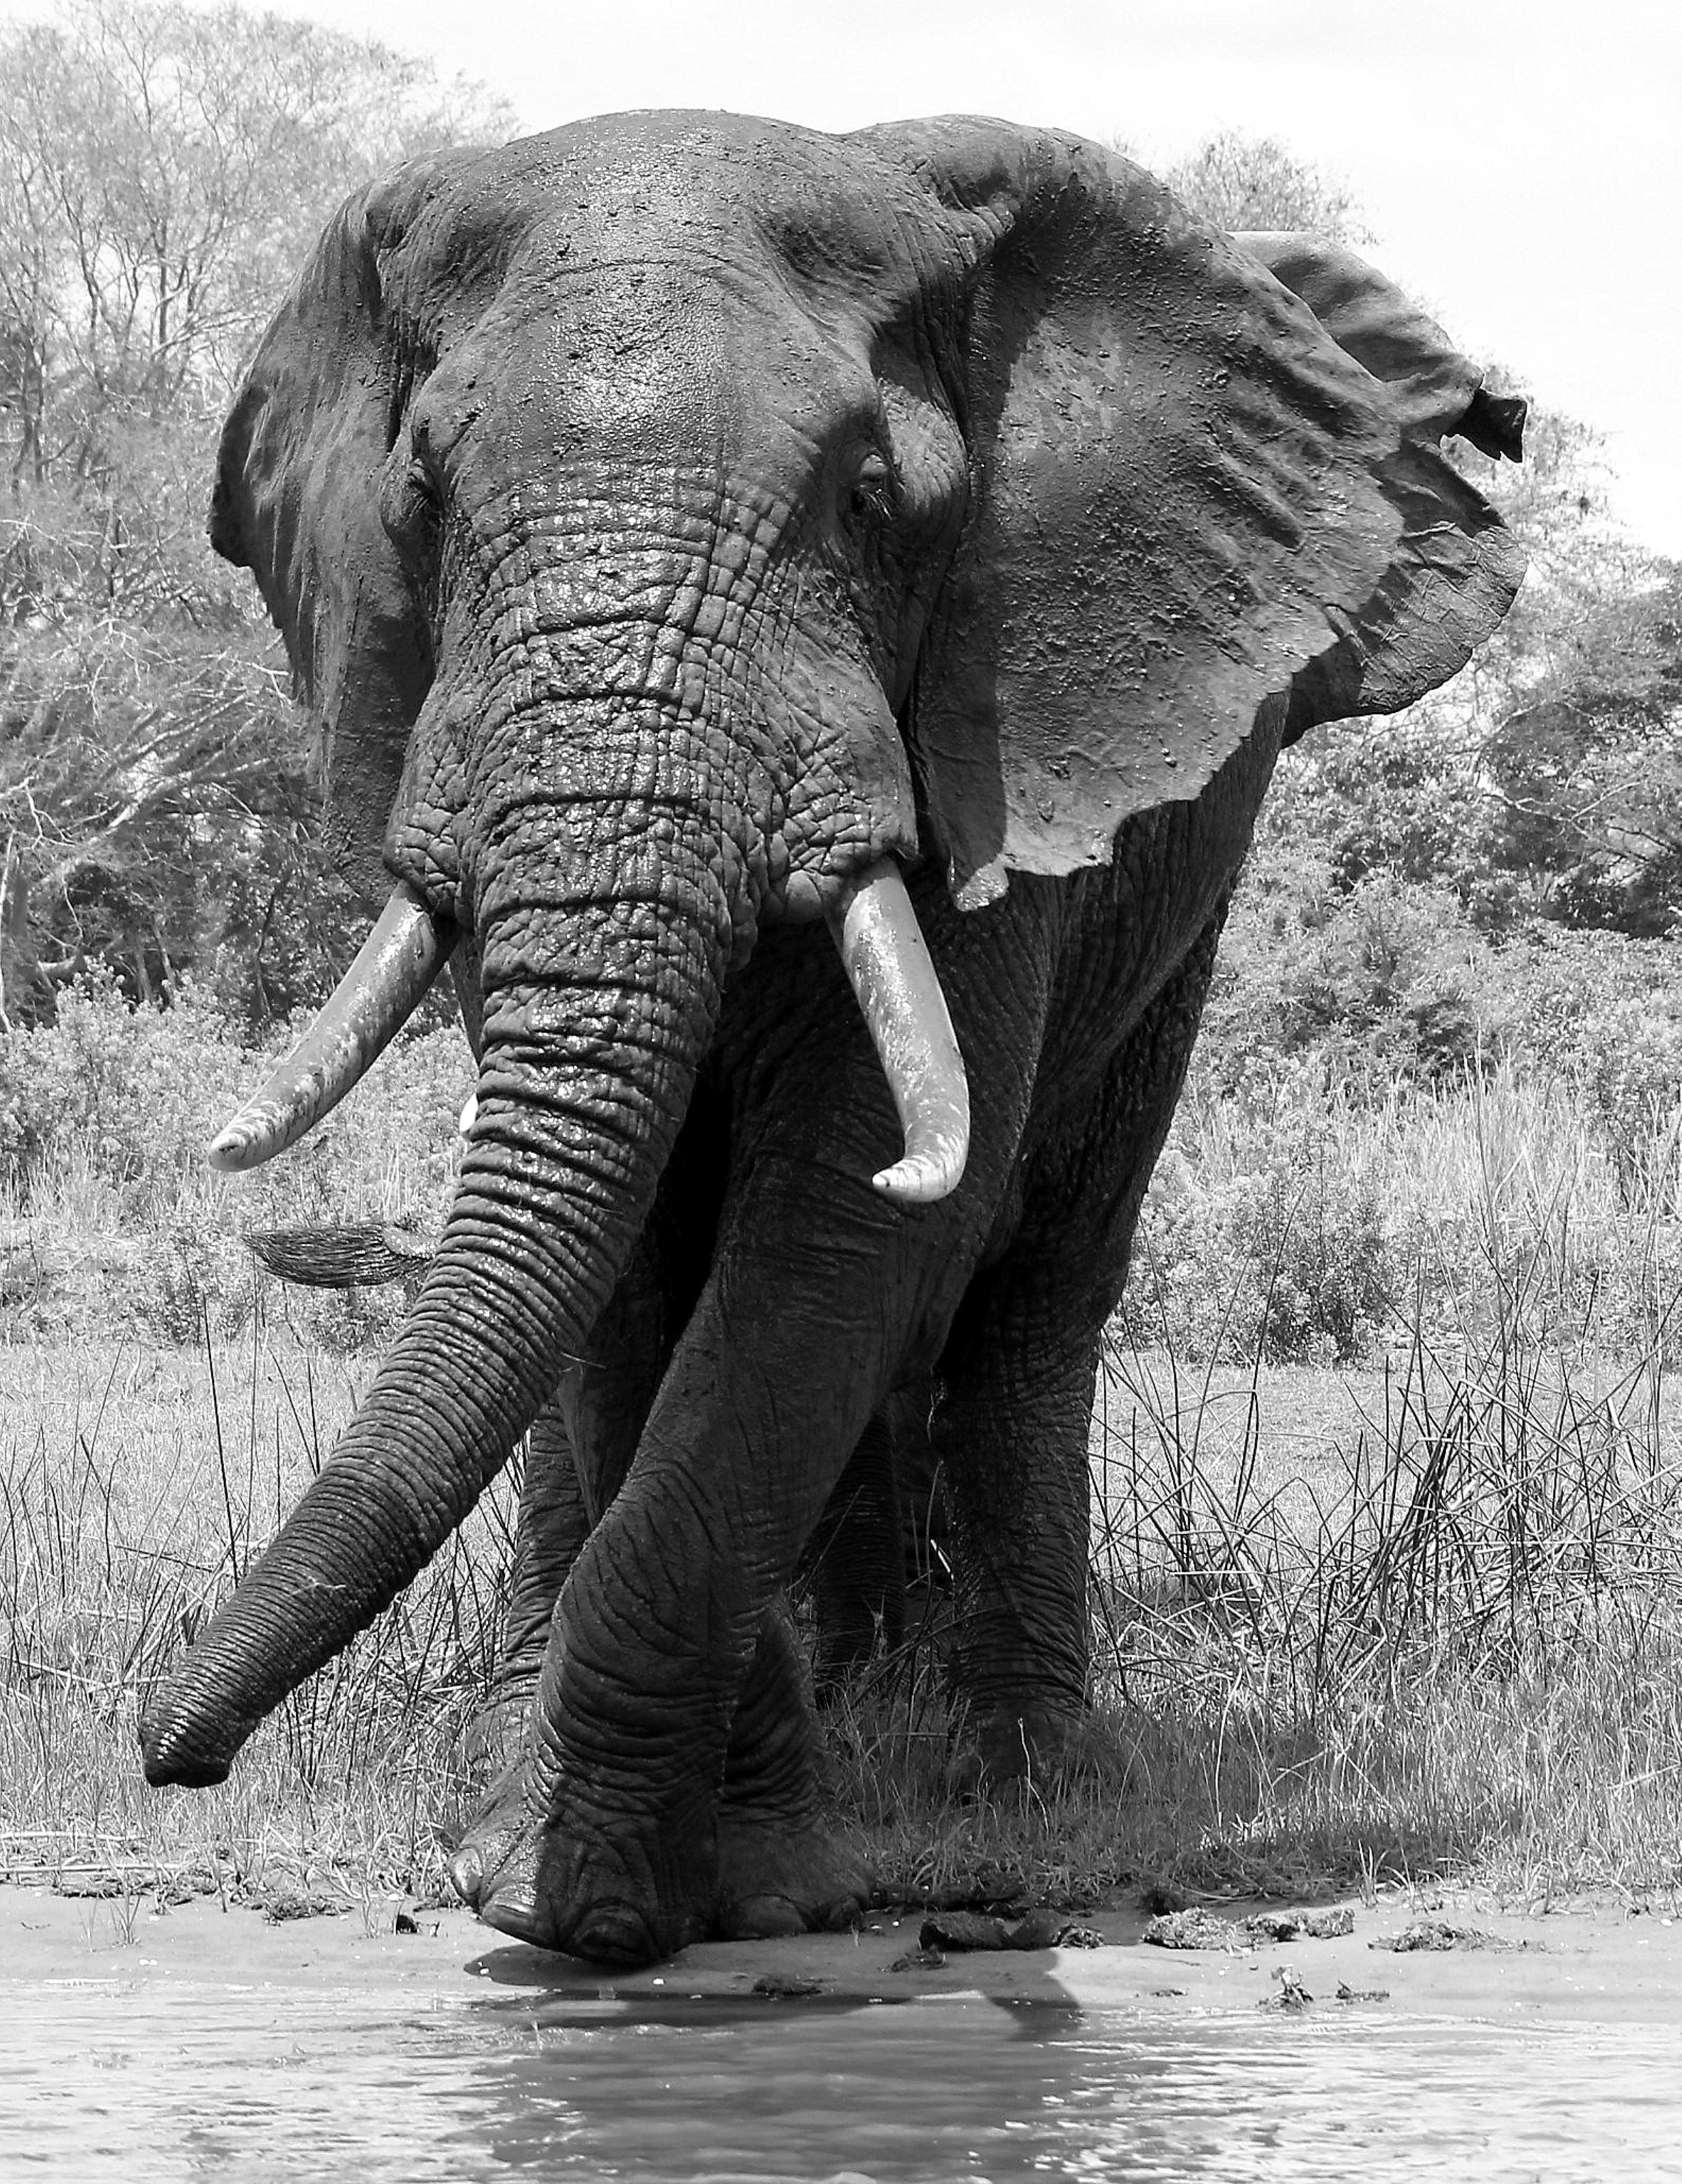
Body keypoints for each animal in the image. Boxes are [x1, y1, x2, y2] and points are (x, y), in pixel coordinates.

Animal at [140, 109, 1524, 1967]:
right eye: (420, 503)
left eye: (869, 504)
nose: (171, 1751)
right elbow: (646, 1264)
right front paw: (589, 1860)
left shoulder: (992, 727)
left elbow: (844, 1228)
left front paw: (645, 1892)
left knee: (1035, 1296)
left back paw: (1013, 1779)